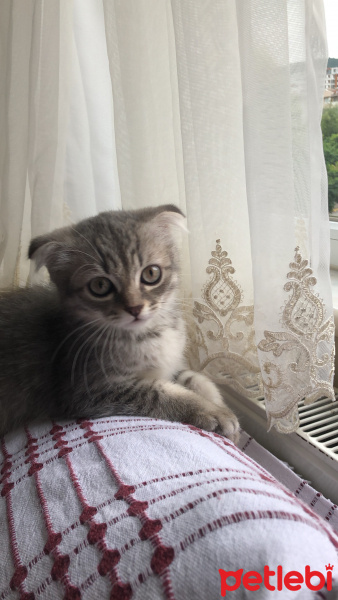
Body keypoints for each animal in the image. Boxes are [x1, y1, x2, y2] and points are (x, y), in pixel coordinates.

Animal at [0, 204, 239, 442]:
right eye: (100, 285)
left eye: (151, 273)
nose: (135, 308)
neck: (148, 334)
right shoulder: (88, 390)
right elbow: (160, 394)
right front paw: (213, 412)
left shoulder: (169, 365)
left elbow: (193, 377)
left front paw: (219, 405)